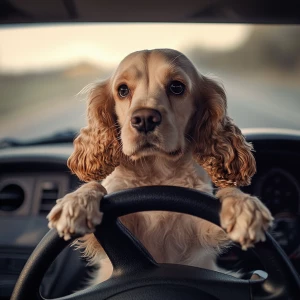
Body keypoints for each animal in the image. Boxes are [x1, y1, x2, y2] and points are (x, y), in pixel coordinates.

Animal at [46, 48, 272, 286]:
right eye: (122, 90)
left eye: (177, 87)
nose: (144, 118)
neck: (157, 172)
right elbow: (96, 186)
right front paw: (76, 203)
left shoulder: (200, 230)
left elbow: (227, 192)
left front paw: (244, 207)